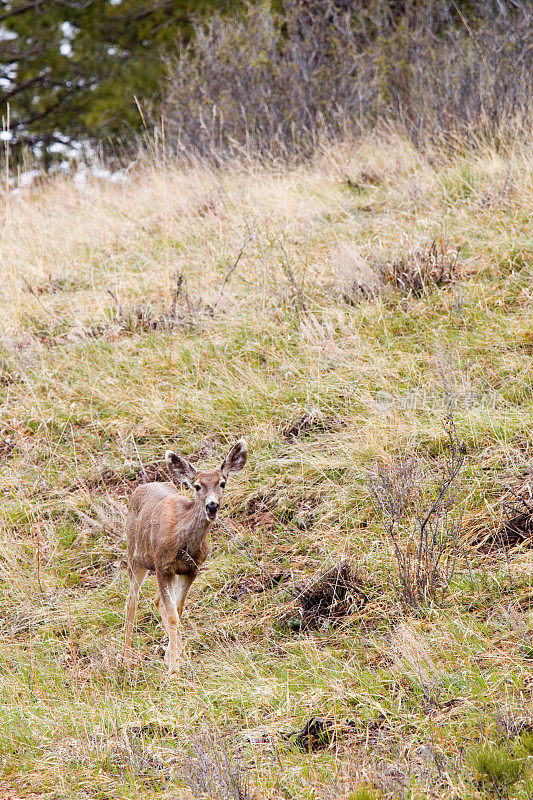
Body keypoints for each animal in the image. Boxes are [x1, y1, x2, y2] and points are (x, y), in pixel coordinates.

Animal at [123, 440, 248, 672]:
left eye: (222, 483)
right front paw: (173, 669)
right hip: (135, 556)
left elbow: (178, 611)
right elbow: (173, 616)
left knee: (155, 600)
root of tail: (141, 487)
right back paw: (126, 658)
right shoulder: (162, 566)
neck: (184, 542)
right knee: (131, 600)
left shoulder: (191, 569)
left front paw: (176, 658)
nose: (212, 505)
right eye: (197, 486)